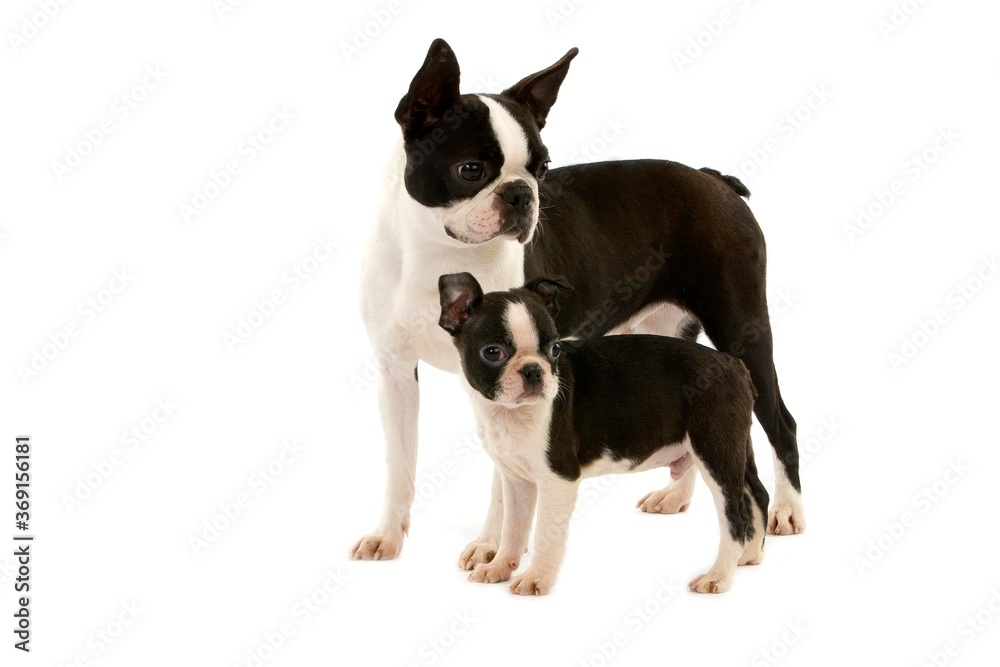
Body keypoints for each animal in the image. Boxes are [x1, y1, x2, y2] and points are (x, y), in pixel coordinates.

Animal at [438, 272, 764, 596]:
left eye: (555, 349)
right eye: (493, 352)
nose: (533, 370)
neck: (510, 413)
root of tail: (735, 365)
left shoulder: (558, 479)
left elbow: (545, 531)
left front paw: (536, 578)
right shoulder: (517, 480)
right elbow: (512, 528)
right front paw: (499, 567)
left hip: (715, 451)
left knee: (735, 515)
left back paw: (719, 575)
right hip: (735, 447)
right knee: (757, 494)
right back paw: (748, 555)